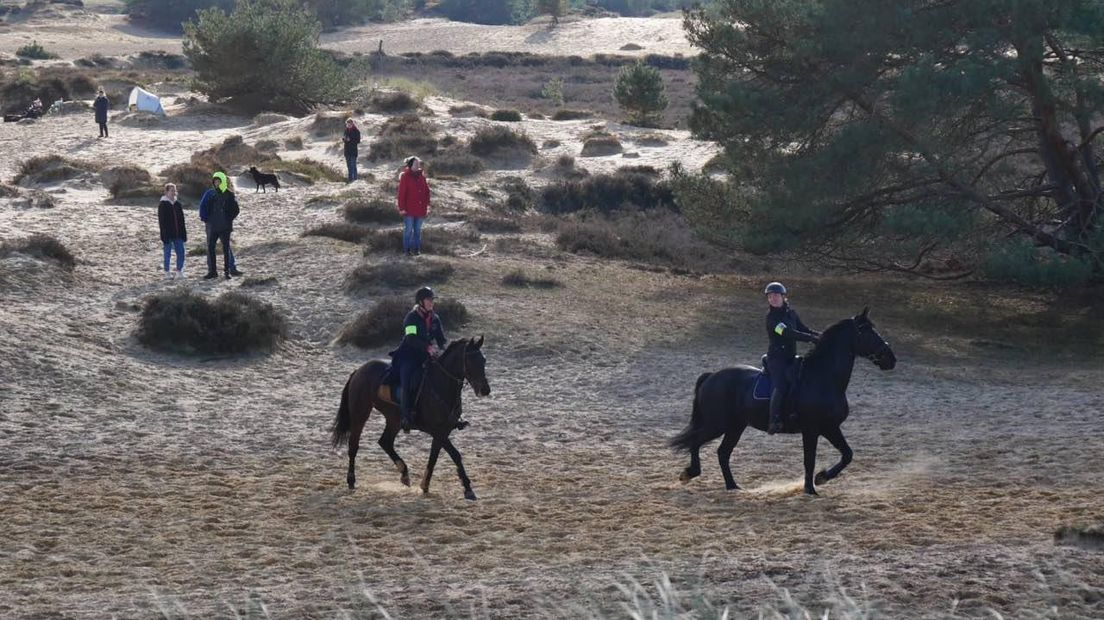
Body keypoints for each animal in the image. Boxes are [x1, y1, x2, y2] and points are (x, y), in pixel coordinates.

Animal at [326, 335, 492, 498]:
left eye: (483, 360)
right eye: (470, 361)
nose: (485, 390)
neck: (441, 384)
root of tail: (359, 370)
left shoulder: (442, 432)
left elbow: (433, 458)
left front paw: (425, 485)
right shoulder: (437, 431)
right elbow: (456, 455)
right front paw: (468, 488)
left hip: (394, 420)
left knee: (385, 442)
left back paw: (404, 473)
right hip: (360, 414)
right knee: (354, 446)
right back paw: (351, 480)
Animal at [671, 306, 896, 492]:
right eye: (866, 331)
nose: (891, 359)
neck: (823, 377)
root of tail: (711, 376)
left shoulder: (830, 427)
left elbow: (847, 454)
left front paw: (822, 477)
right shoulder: (812, 429)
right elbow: (809, 460)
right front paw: (810, 489)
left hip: (735, 426)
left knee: (722, 453)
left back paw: (733, 486)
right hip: (717, 424)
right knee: (696, 442)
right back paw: (689, 473)